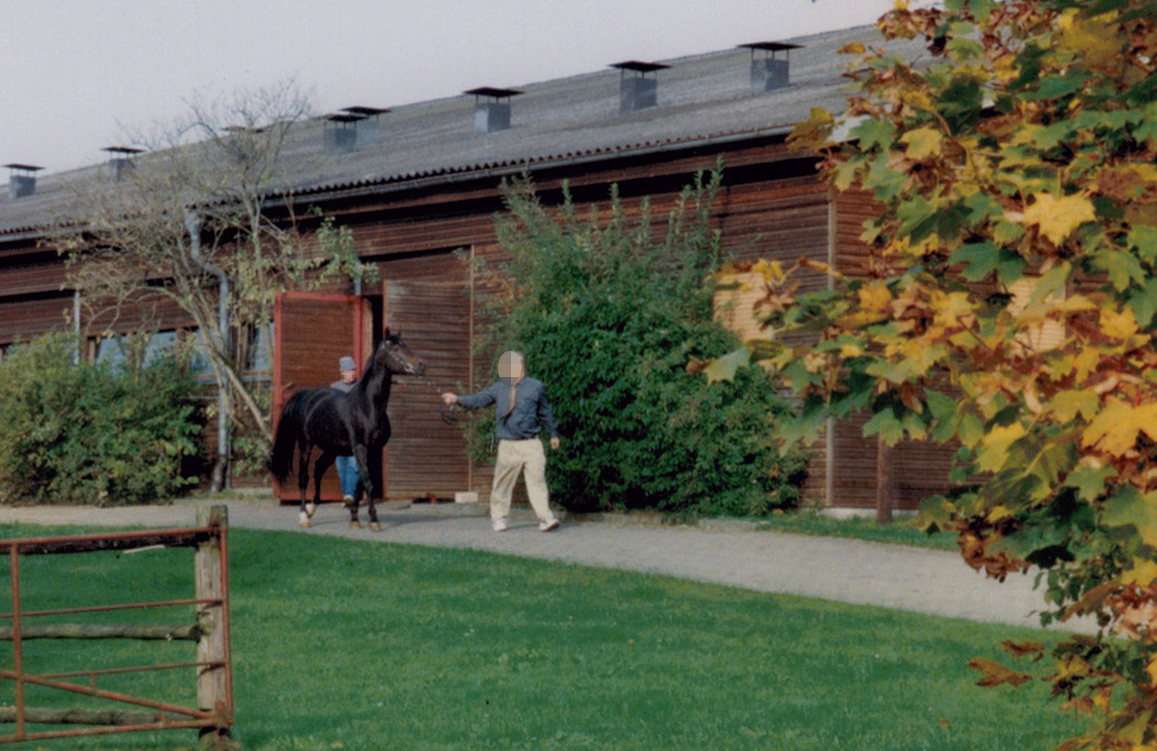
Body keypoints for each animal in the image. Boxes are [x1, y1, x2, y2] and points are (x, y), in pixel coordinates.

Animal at [268, 330, 428, 529]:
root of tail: (305, 397)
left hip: (331, 449)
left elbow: (360, 485)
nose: (422, 365)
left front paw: (354, 518)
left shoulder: (373, 449)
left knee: (319, 468)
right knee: (303, 477)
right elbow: (368, 482)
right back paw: (304, 516)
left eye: (406, 345)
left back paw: (313, 508)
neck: (367, 406)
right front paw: (374, 521)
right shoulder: (360, 448)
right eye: (396, 348)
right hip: (306, 444)